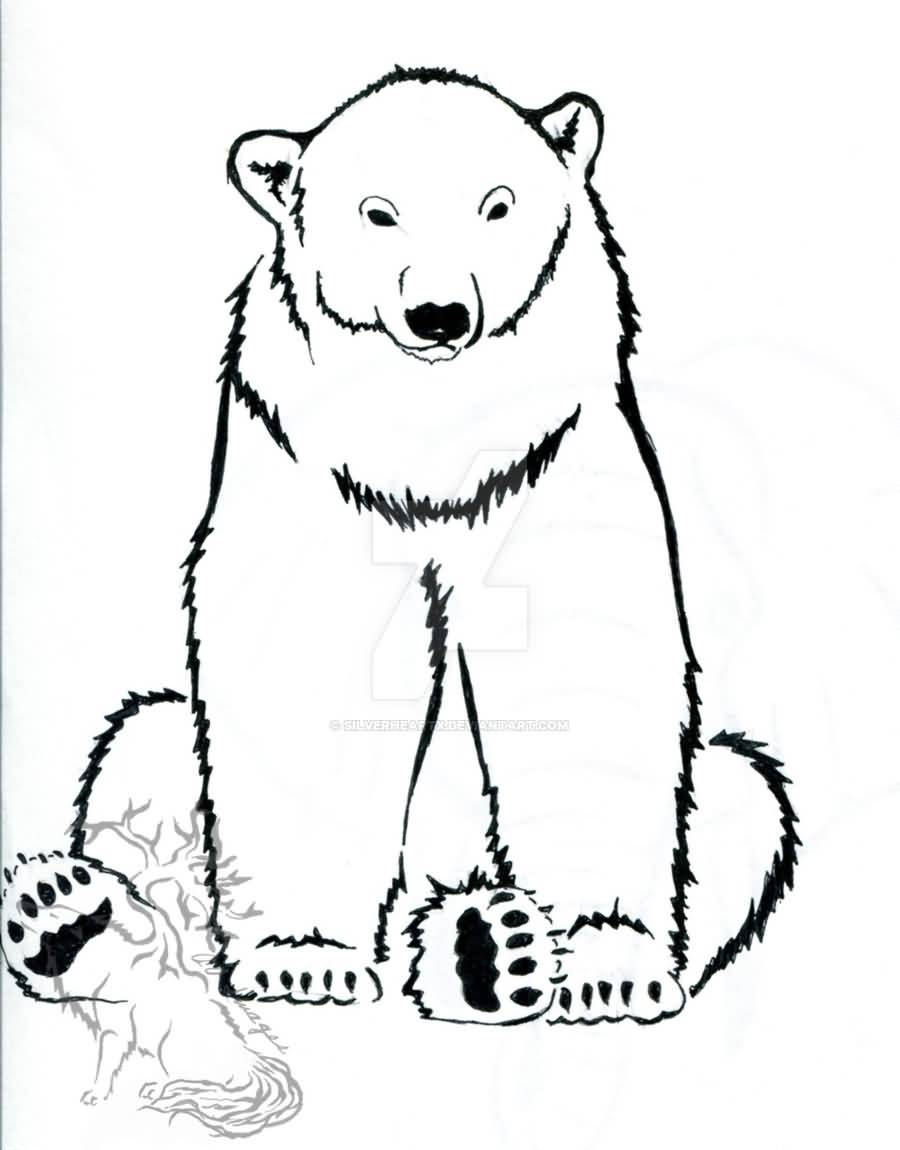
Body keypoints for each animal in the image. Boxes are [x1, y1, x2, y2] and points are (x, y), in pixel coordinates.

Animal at [2, 67, 798, 1035]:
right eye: (376, 213)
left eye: (498, 203)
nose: (440, 313)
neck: (433, 444)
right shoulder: (314, 464)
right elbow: (307, 671)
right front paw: (302, 959)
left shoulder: (551, 458)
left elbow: (581, 672)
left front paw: (607, 966)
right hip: (168, 762)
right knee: (144, 743)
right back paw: (67, 918)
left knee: (742, 789)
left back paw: (485, 949)